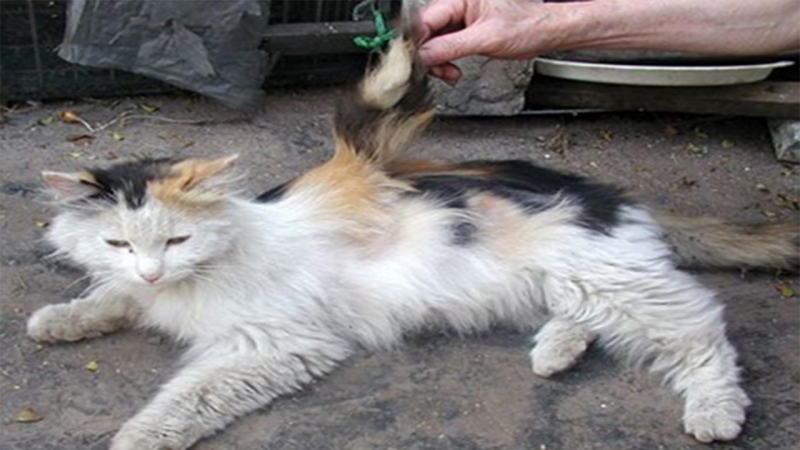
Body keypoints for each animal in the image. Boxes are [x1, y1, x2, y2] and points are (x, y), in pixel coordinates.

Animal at [28, 14, 796, 450]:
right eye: (120, 244)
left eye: (176, 242)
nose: (153, 270)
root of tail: (609, 195)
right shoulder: (140, 290)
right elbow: (108, 298)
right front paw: (60, 319)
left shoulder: (273, 343)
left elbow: (188, 398)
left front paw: (138, 437)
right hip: (564, 286)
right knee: (585, 320)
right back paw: (555, 353)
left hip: (617, 284)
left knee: (703, 336)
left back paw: (716, 411)